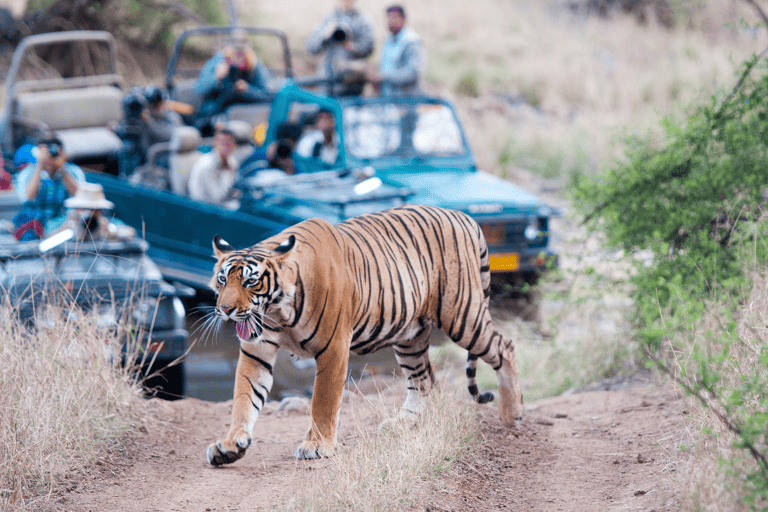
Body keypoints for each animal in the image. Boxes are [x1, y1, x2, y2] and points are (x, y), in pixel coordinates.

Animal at [206, 204, 524, 466]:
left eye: (250, 282)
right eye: (222, 280)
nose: (225, 310)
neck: (277, 312)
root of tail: (464, 216)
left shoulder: (333, 348)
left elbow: (322, 401)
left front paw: (316, 446)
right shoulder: (256, 352)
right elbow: (244, 398)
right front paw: (230, 445)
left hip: (462, 316)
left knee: (505, 347)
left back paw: (513, 415)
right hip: (410, 336)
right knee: (423, 380)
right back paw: (402, 424)